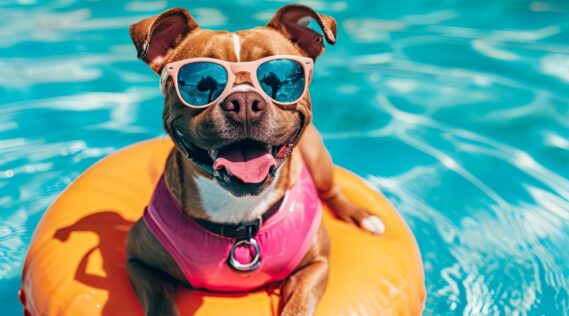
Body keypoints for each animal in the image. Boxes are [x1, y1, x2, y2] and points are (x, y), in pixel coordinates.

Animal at [124, 3, 382, 314]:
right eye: (199, 82)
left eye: (280, 74)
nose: (244, 101)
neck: (240, 215)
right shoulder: (138, 263)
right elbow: (160, 303)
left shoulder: (316, 265)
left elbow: (298, 305)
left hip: (318, 159)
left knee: (332, 190)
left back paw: (362, 217)